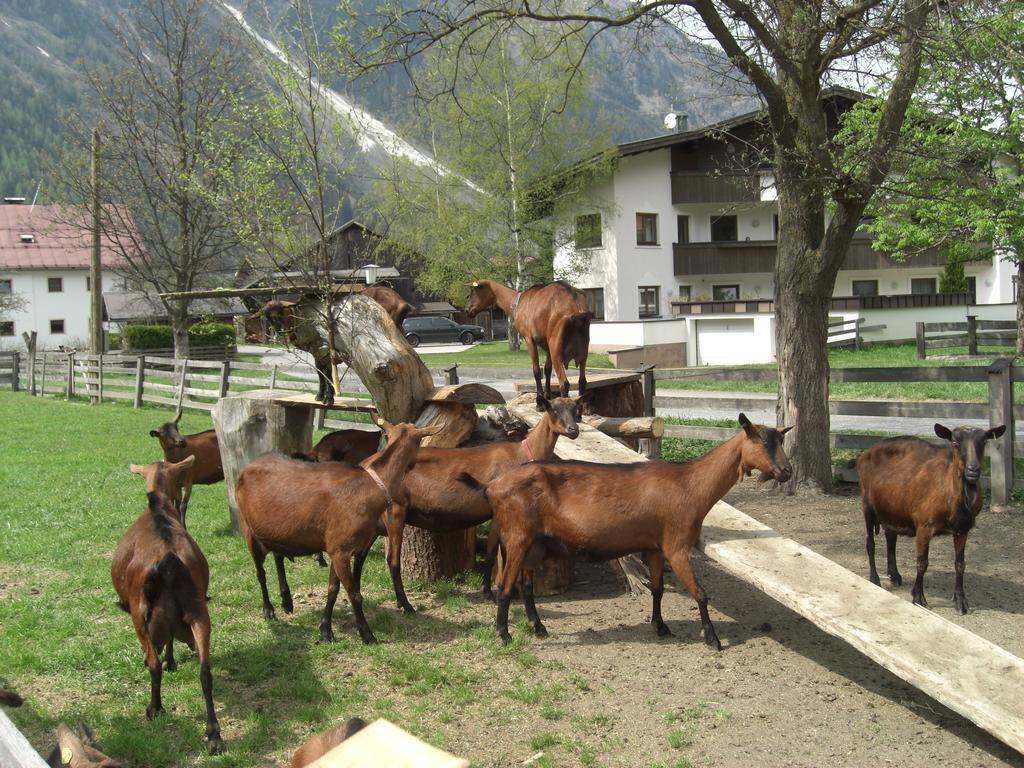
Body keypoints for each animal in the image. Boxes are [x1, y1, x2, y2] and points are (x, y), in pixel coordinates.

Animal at [111, 489, 223, 753]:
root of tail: (168, 564)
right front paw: (171, 661)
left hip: (140, 615)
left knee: (154, 665)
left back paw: (155, 708)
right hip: (199, 614)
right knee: (205, 671)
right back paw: (214, 734)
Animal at [235, 421, 444, 643]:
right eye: (420, 442)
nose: (413, 464)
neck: (371, 487)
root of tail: (248, 466)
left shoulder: (339, 549)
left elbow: (333, 590)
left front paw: (325, 630)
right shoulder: (340, 549)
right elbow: (353, 593)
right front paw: (367, 635)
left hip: (277, 531)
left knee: (278, 557)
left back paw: (287, 601)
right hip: (248, 528)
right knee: (260, 572)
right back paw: (268, 610)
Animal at [458, 415, 790, 651]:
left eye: (780, 441)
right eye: (761, 441)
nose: (786, 472)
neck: (690, 484)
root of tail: (492, 487)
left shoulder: (655, 546)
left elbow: (657, 589)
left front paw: (660, 626)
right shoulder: (676, 545)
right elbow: (701, 593)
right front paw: (713, 639)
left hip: (534, 543)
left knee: (526, 587)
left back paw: (538, 627)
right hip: (517, 536)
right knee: (504, 586)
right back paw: (504, 635)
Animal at [856, 423, 1007, 618]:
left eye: (984, 442)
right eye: (955, 443)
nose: (973, 470)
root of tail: (864, 454)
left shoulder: (962, 529)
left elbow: (960, 564)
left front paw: (961, 601)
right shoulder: (924, 526)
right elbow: (922, 563)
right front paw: (918, 597)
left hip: (892, 508)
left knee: (891, 538)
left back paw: (894, 575)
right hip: (867, 505)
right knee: (870, 543)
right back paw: (875, 579)